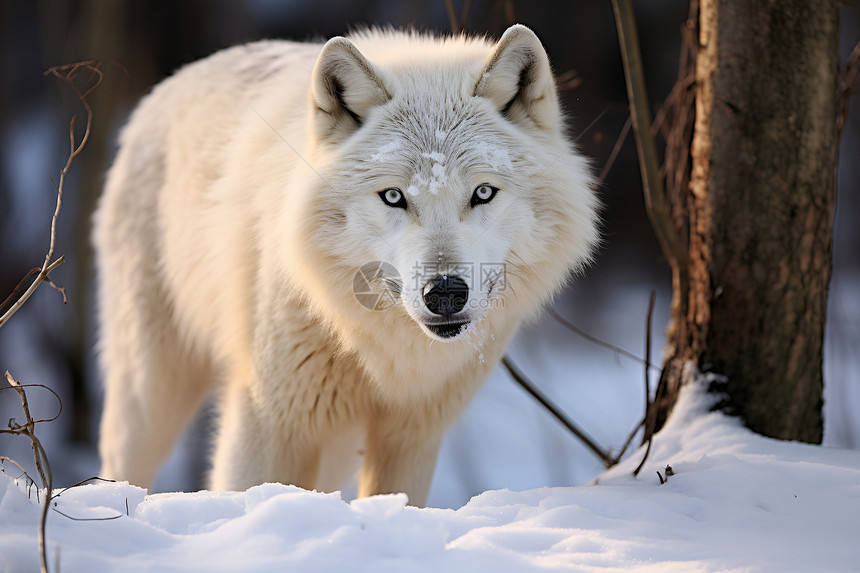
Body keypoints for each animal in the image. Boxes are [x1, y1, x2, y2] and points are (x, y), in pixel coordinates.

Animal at [94, 24, 596, 502]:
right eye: (393, 197)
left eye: (483, 192)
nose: (445, 293)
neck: (384, 354)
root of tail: (170, 83)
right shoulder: (269, 423)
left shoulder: (412, 438)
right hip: (150, 397)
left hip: (336, 447)